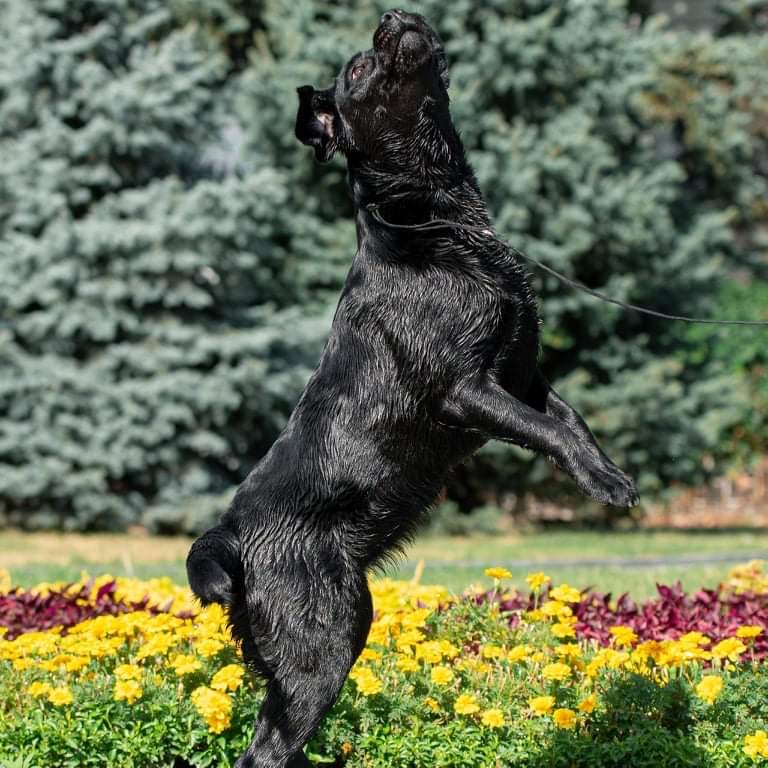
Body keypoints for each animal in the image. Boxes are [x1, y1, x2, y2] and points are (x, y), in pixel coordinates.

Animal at [184, 9, 636, 764]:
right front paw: (605, 486)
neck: (436, 226)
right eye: (360, 67)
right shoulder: (464, 389)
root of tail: (229, 537)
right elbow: (549, 429)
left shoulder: (522, 374)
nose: (392, 17)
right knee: (266, 748)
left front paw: (610, 472)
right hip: (323, 639)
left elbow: (570, 422)